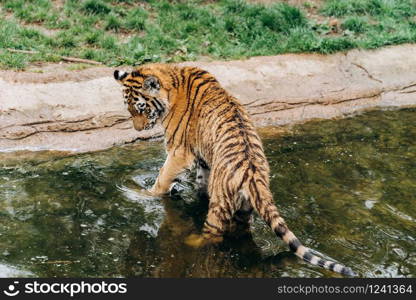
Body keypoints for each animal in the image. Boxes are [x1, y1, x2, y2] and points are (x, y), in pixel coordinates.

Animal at [114, 63, 358, 276]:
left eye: (141, 108)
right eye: (129, 110)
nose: (138, 129)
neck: (173, 81)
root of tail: (254, 175)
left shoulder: (179, 152)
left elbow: (162, 177)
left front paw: (146, 195)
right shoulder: (204, 160)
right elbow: (200, 181)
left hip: (219, 206)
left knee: (213, 234)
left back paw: (192, 241)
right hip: (245, 209)